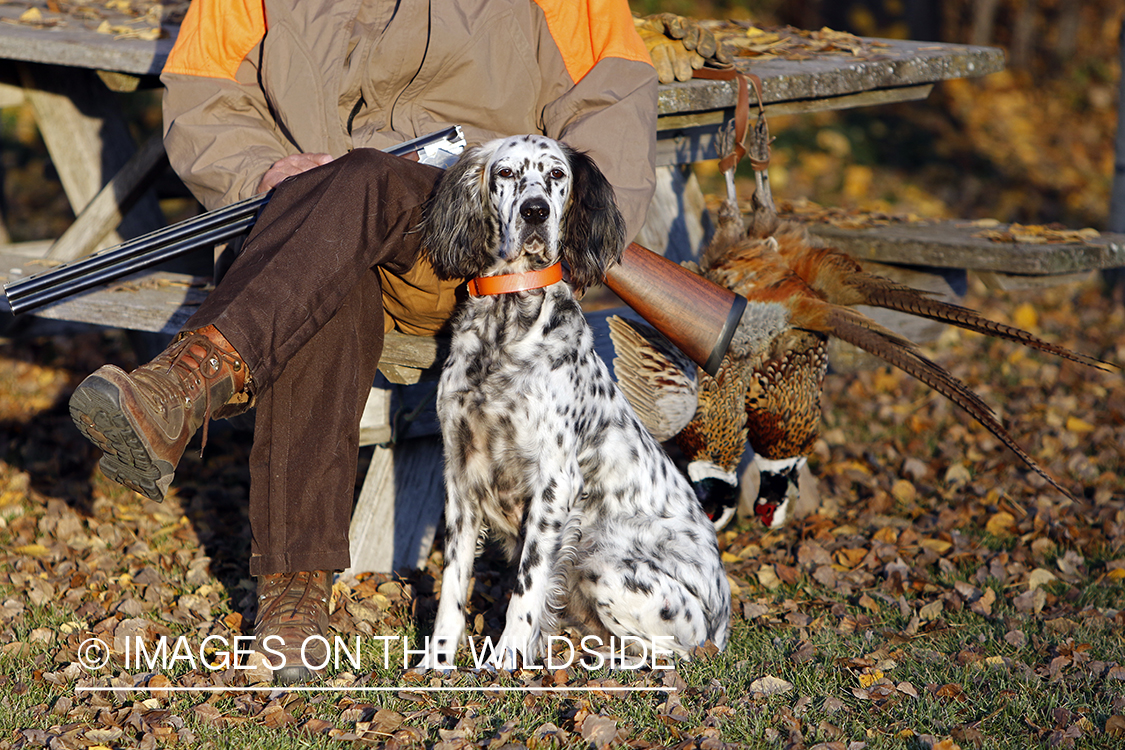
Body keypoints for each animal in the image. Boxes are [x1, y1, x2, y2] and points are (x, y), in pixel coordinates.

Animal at [416, 133, 729, 670]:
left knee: (674, 655)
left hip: (606, 562)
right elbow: (453, 584)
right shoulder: (460, 475)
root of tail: (725, 618)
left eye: (557, 175)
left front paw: (505, 659)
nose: (535, 211)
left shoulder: (555, 480)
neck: (506, 326)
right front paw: (435, 663)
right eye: (504, 172)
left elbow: (526, 585)